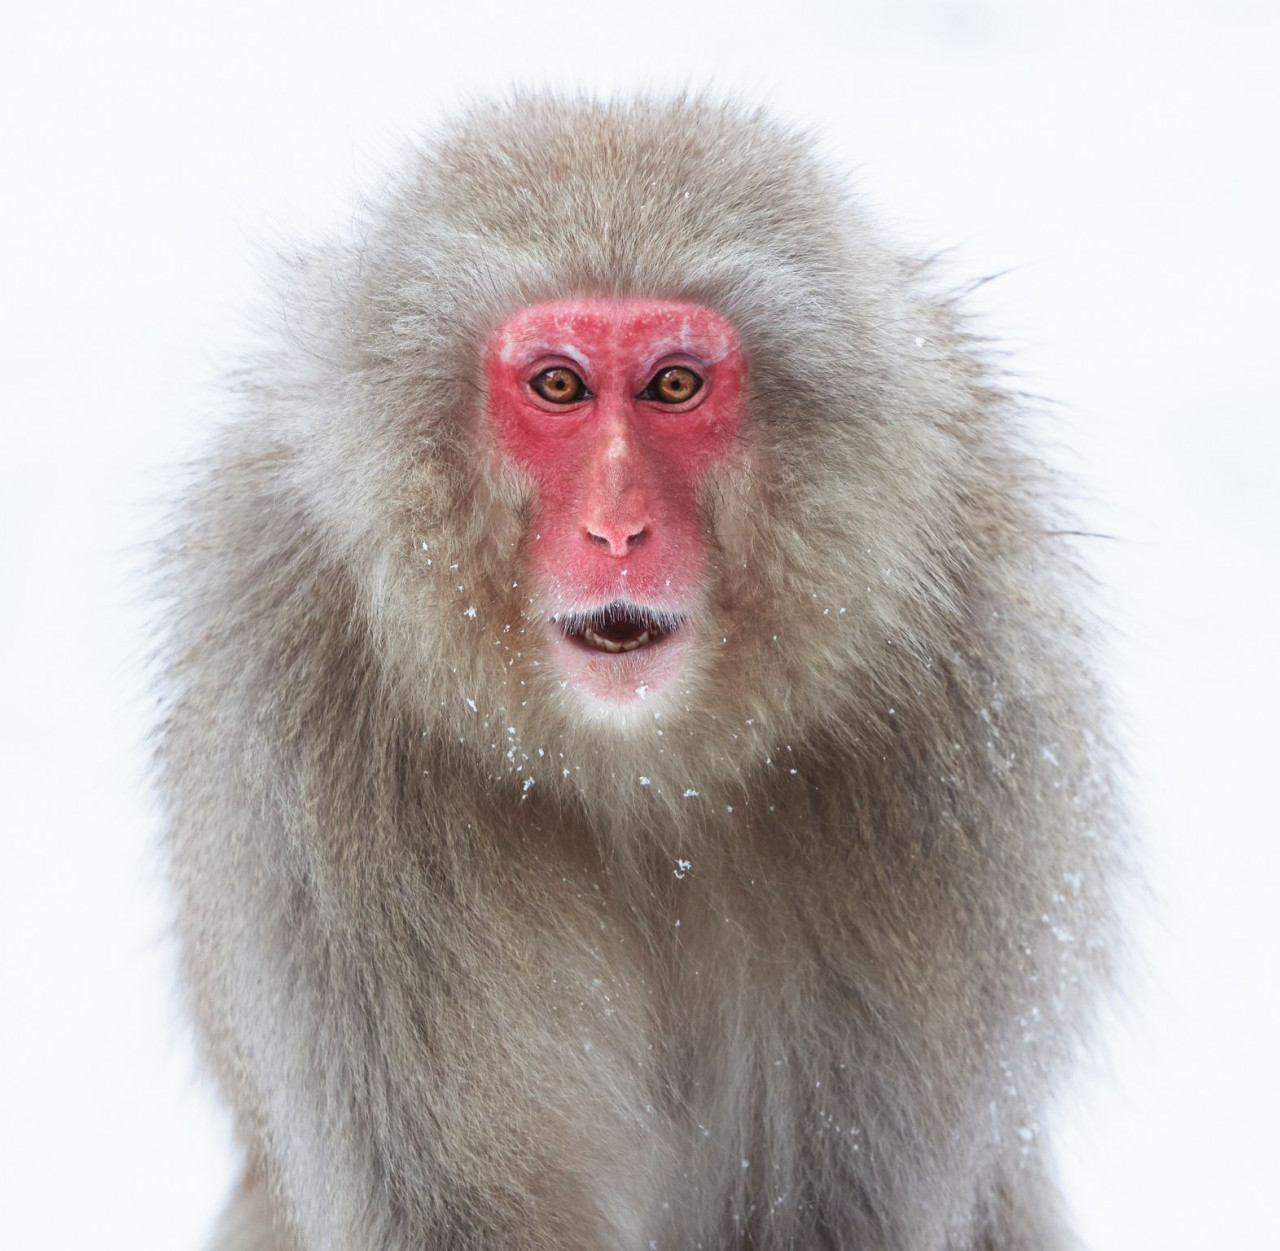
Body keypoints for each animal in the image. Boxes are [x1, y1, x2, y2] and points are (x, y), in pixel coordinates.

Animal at [155, 95, 1124, 1251]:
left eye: (673, 384)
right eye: (558, 385)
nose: (616, 529)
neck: (637, 768)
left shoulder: (959, 744)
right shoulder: (310, 740)